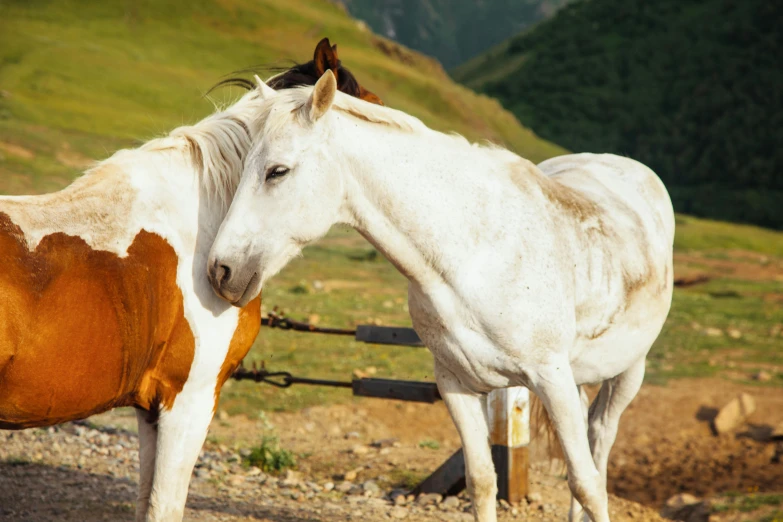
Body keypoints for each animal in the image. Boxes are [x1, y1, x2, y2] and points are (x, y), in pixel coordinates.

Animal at [207, 72, 672, 520]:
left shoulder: (550, 379)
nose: (220, 270)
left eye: (277, 171)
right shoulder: (457, 385)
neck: (474, 254)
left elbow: (587, 484)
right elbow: (482, 482)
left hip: (627, 370)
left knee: (599, 439)